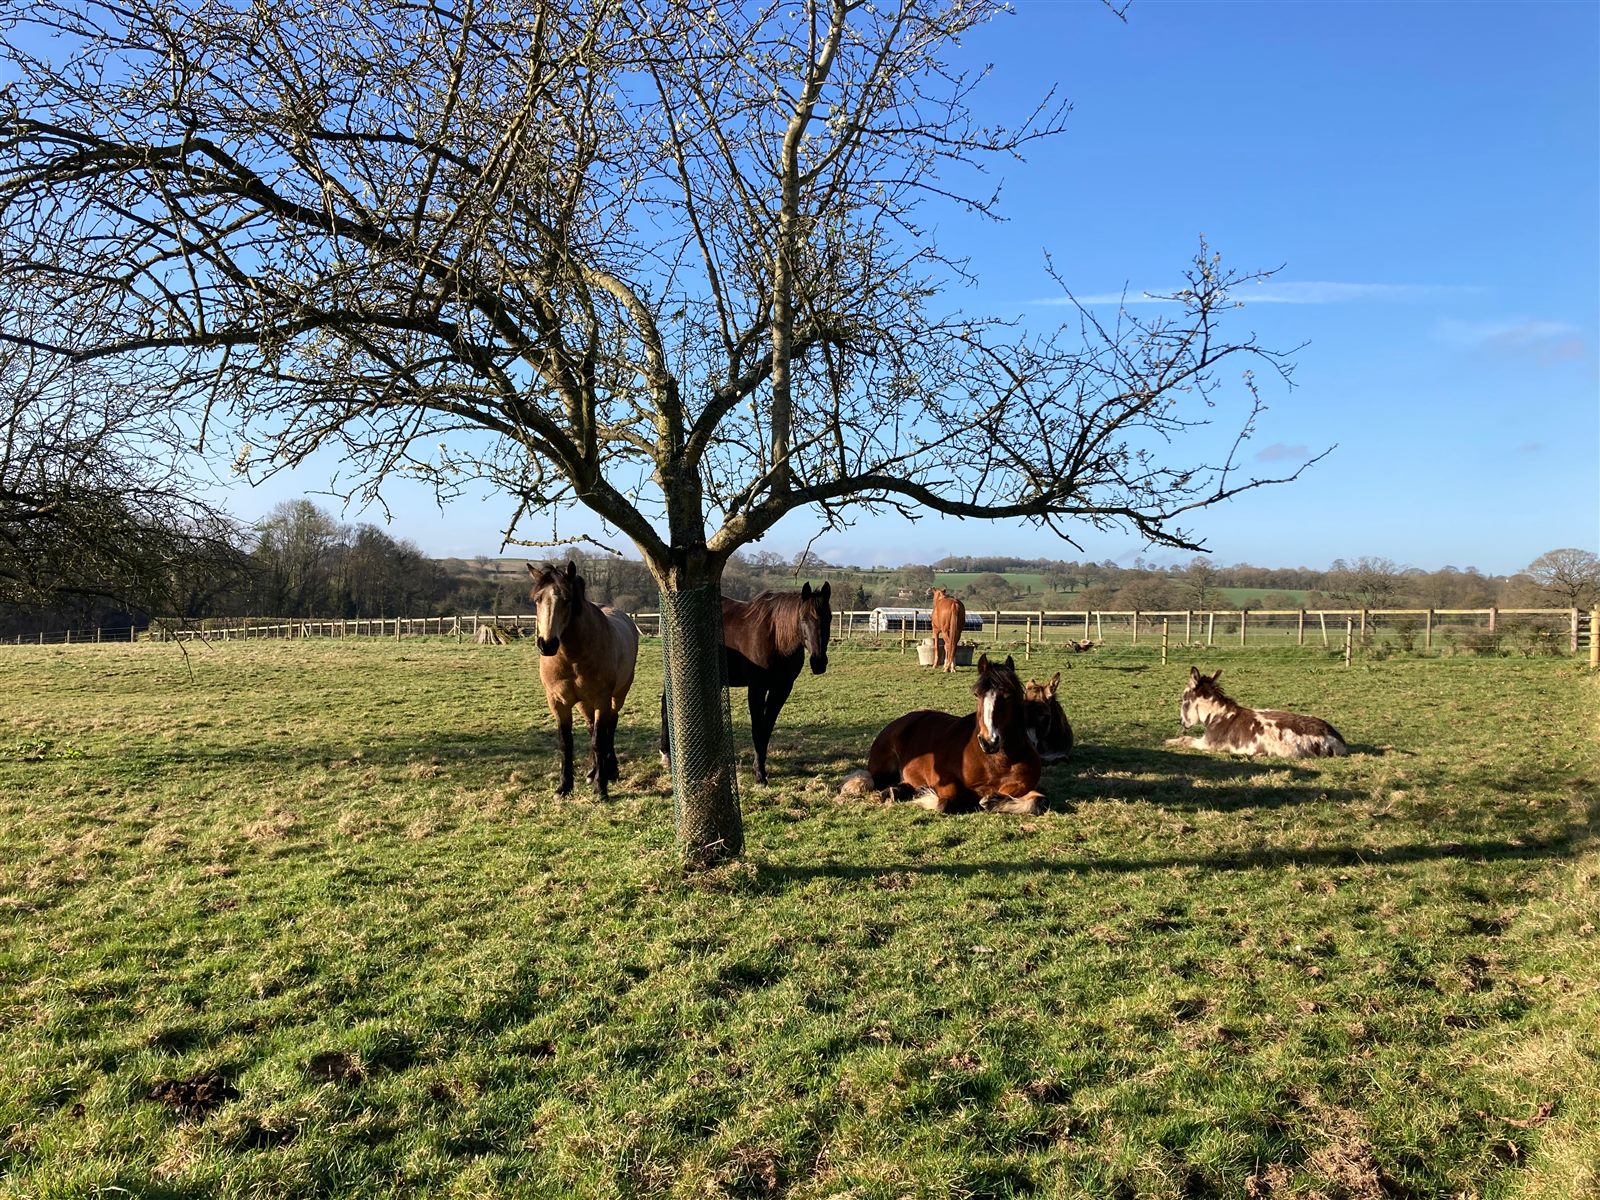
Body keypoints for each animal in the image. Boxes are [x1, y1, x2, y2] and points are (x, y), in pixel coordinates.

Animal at [526, 562, 640, 799]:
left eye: (567, 599)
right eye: (537, 599)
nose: (547, 644)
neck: (572, 658)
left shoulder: (601, 699)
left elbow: (599, 740)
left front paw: (601, 788)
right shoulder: (558, 702)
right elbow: (566, 743)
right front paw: (564, 787)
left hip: (618, 694)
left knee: (610, 726)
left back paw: (610, 771)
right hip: (583, 703)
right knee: (591, 727)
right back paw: (593, 771)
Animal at [659, 581, 831, 785]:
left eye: (829, 618)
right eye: (803, 619)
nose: (819, 662)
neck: (775, 637)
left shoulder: (782, 689)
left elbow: (766, 729)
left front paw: (761, 769)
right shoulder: (757, 688)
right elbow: (757, 729)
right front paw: (759, 774)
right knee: (666, 707)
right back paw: (666, 755)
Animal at [856, 653, 1044, 814]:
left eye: (1008, 696)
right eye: (976, 695)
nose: (989, 741)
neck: (997, 761)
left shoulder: (1021, 786)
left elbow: (1038, 800)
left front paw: (992, 801)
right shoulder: (944, 779)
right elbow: (945, 802)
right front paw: (925, 796)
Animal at [1164, 667, 1349, 758]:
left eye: (1183, 698)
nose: (1181, 722)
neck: (1219, 715)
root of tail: (1338, 738)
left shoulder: (1207, 744)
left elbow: (1185, 739)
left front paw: (1168, 741)